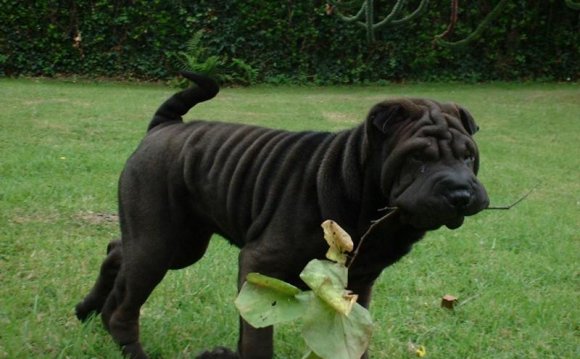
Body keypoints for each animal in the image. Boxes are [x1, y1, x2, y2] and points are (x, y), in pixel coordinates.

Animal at [73, 71, 490, 358]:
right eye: (417, 158)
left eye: (467, 156)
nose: (460, 192)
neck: (357, 186)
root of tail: (164, 126)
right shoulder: (261, 265)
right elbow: (258, 340)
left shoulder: (358, 282)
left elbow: (353, 338)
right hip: (160, 243)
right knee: (125, 305)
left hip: (179, 242)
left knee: (117, 252)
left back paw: (86, 310)